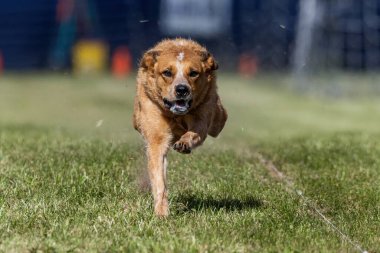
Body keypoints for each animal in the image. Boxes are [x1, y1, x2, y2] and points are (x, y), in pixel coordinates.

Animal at [133, 38, 227, 216]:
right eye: (167, 73)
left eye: (194, 73)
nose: (182, 89)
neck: (175, 115)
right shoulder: (157, 136)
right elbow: (159, 176)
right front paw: (162, 212)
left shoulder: (202, 114)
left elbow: (196, 131)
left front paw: (184, 143)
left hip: (218, 117)